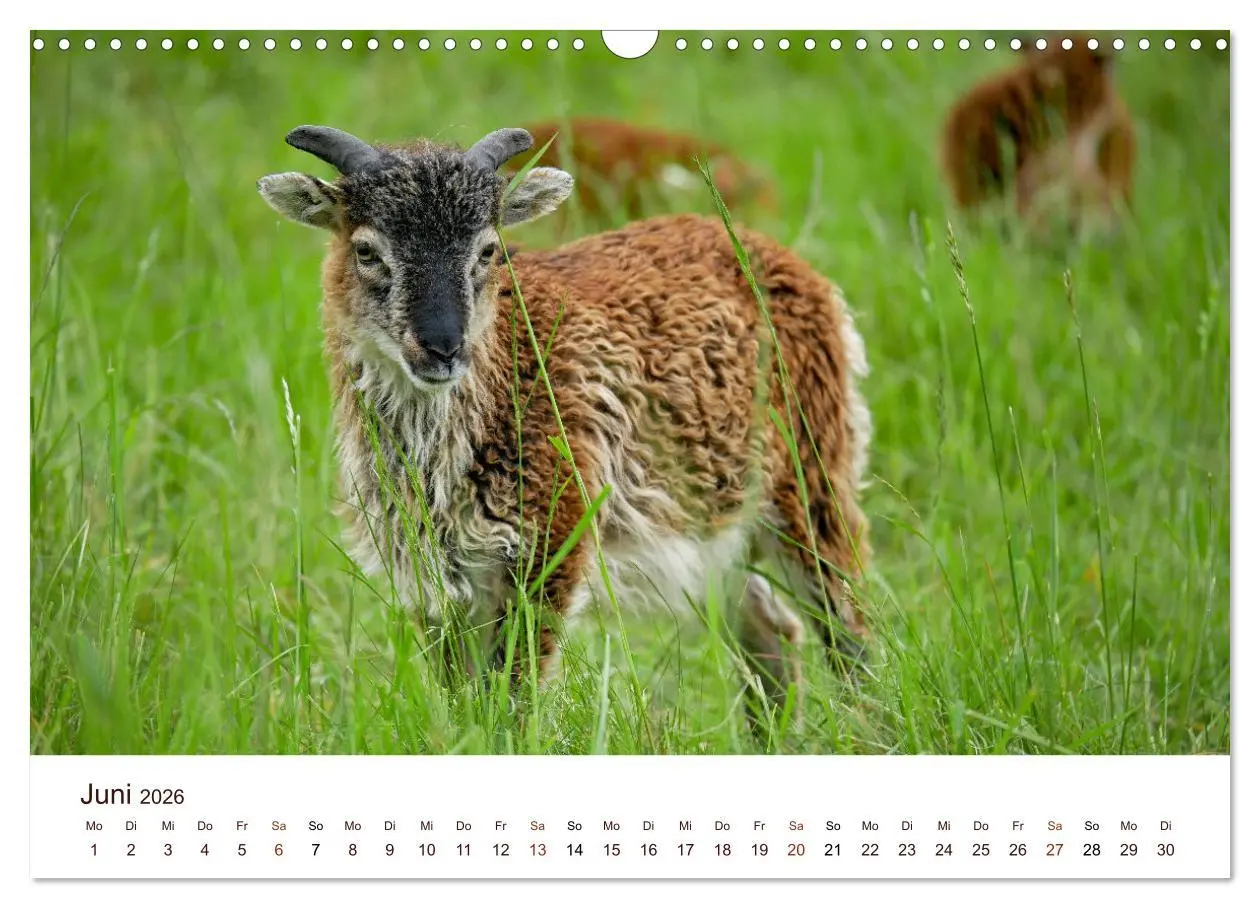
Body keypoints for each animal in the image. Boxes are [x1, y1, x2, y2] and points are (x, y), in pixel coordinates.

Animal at [257, 124, 873, 727]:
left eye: (488, 249)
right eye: (366, 250)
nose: (442, 346)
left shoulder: (552, 544)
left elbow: (513, 698)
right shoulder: (434, 577)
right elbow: (463, 702)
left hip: (810, 480)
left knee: (848, 625)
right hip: (717, 532)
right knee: (772, 631)